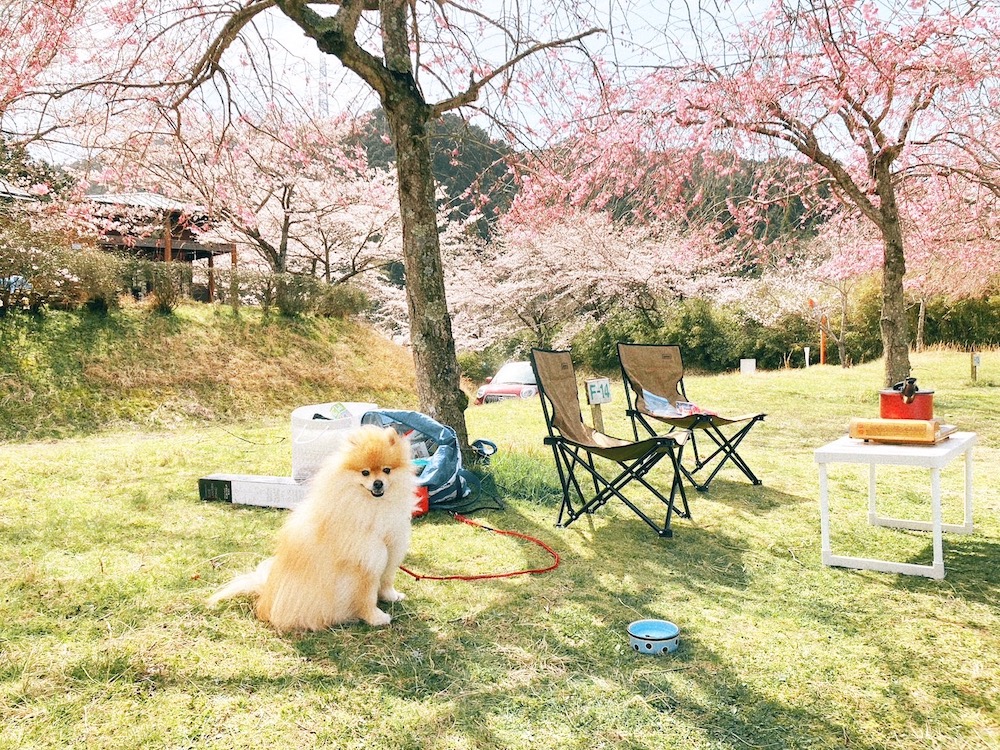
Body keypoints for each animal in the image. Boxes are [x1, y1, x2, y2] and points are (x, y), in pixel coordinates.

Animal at [209, 426, 416, 632]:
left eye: (387, 470)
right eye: (365, 473)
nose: (378, 483)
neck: (373, 507)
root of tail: (267, 596)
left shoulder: (391, 548)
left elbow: (387, 579)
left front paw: (392, 596)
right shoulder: (364, 561)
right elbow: (367, 596)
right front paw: (375, 617)